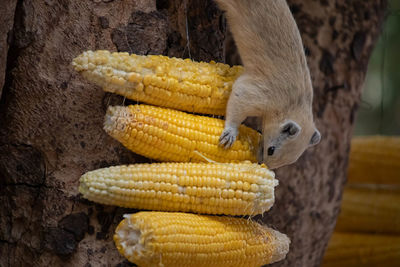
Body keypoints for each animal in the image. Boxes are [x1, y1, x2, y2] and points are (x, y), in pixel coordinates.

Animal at [214, 0, 320, 170]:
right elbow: (236, 107)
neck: (295, 102)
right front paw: (229, 134)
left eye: (288, 162)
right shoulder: (254, 93)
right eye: (271, 150)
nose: (260, 164)